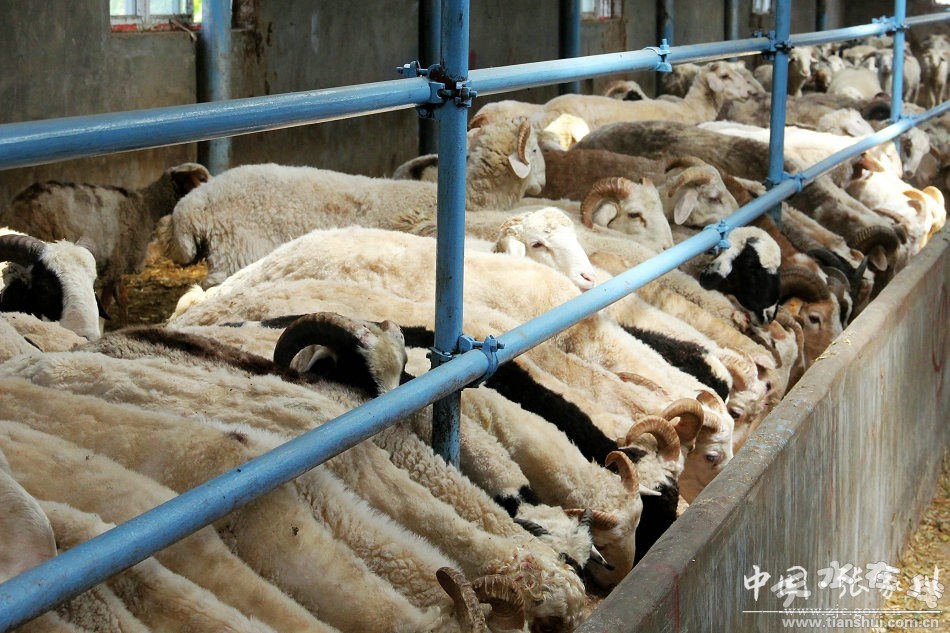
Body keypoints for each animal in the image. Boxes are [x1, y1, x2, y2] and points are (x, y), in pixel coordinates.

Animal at [1, 163, 210, 326]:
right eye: (196, 180)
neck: (143, 208)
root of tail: (13, 209)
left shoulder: (119, 264)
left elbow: (122, 298)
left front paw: (124, 325)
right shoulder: (116, 262)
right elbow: (108, 301)